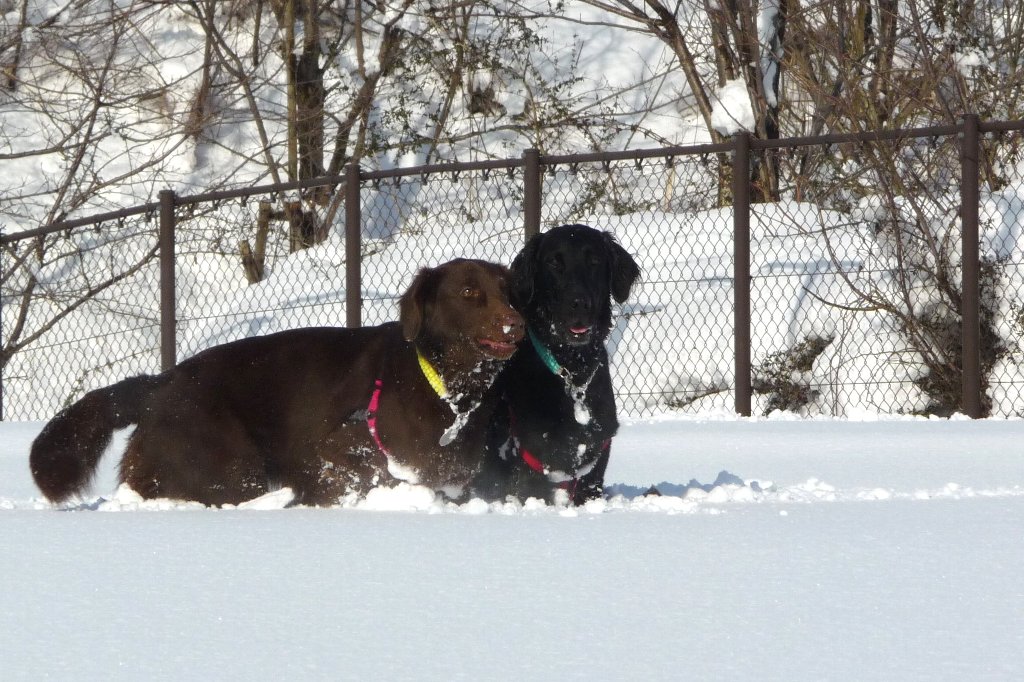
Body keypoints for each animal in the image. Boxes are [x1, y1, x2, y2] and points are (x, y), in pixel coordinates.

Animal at [30, 258, 524, 506]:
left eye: (509, 291)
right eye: (469, 293)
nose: (516, 326)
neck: (444, 383)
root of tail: (159, 383)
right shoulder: (339, 450)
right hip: (229, 463)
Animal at [473, 224, 641, 504]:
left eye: (594, 261)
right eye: (553, 262)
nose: (579, 303)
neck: (571, 370)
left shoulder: (594, 466)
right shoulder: (532, 467)